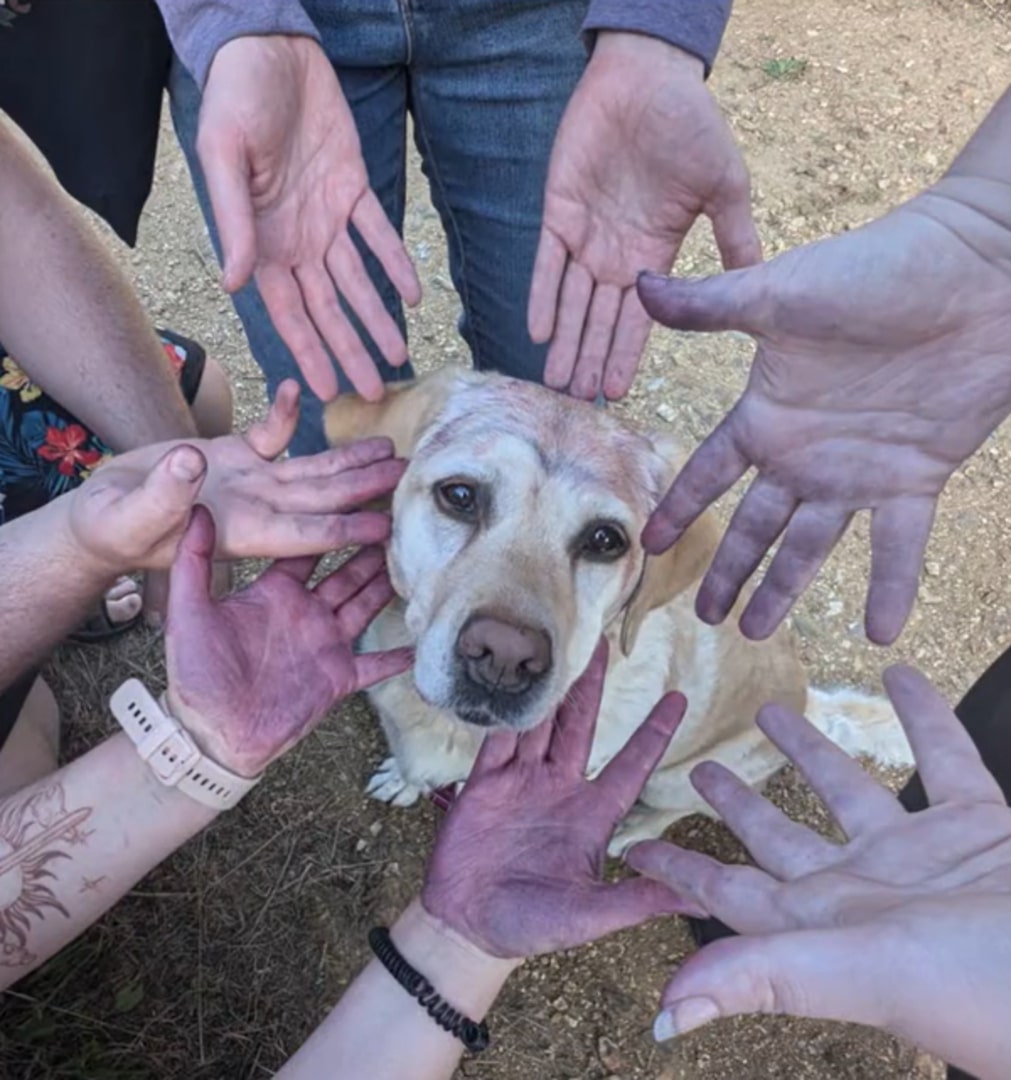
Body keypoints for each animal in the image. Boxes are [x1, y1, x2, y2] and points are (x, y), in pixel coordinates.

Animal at [326, 371, 915, 851]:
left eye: (605, 540)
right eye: (461, 495)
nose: (505, 659)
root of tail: (809, 704)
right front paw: (405, 780)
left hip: (679, 775)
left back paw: (631, 832)